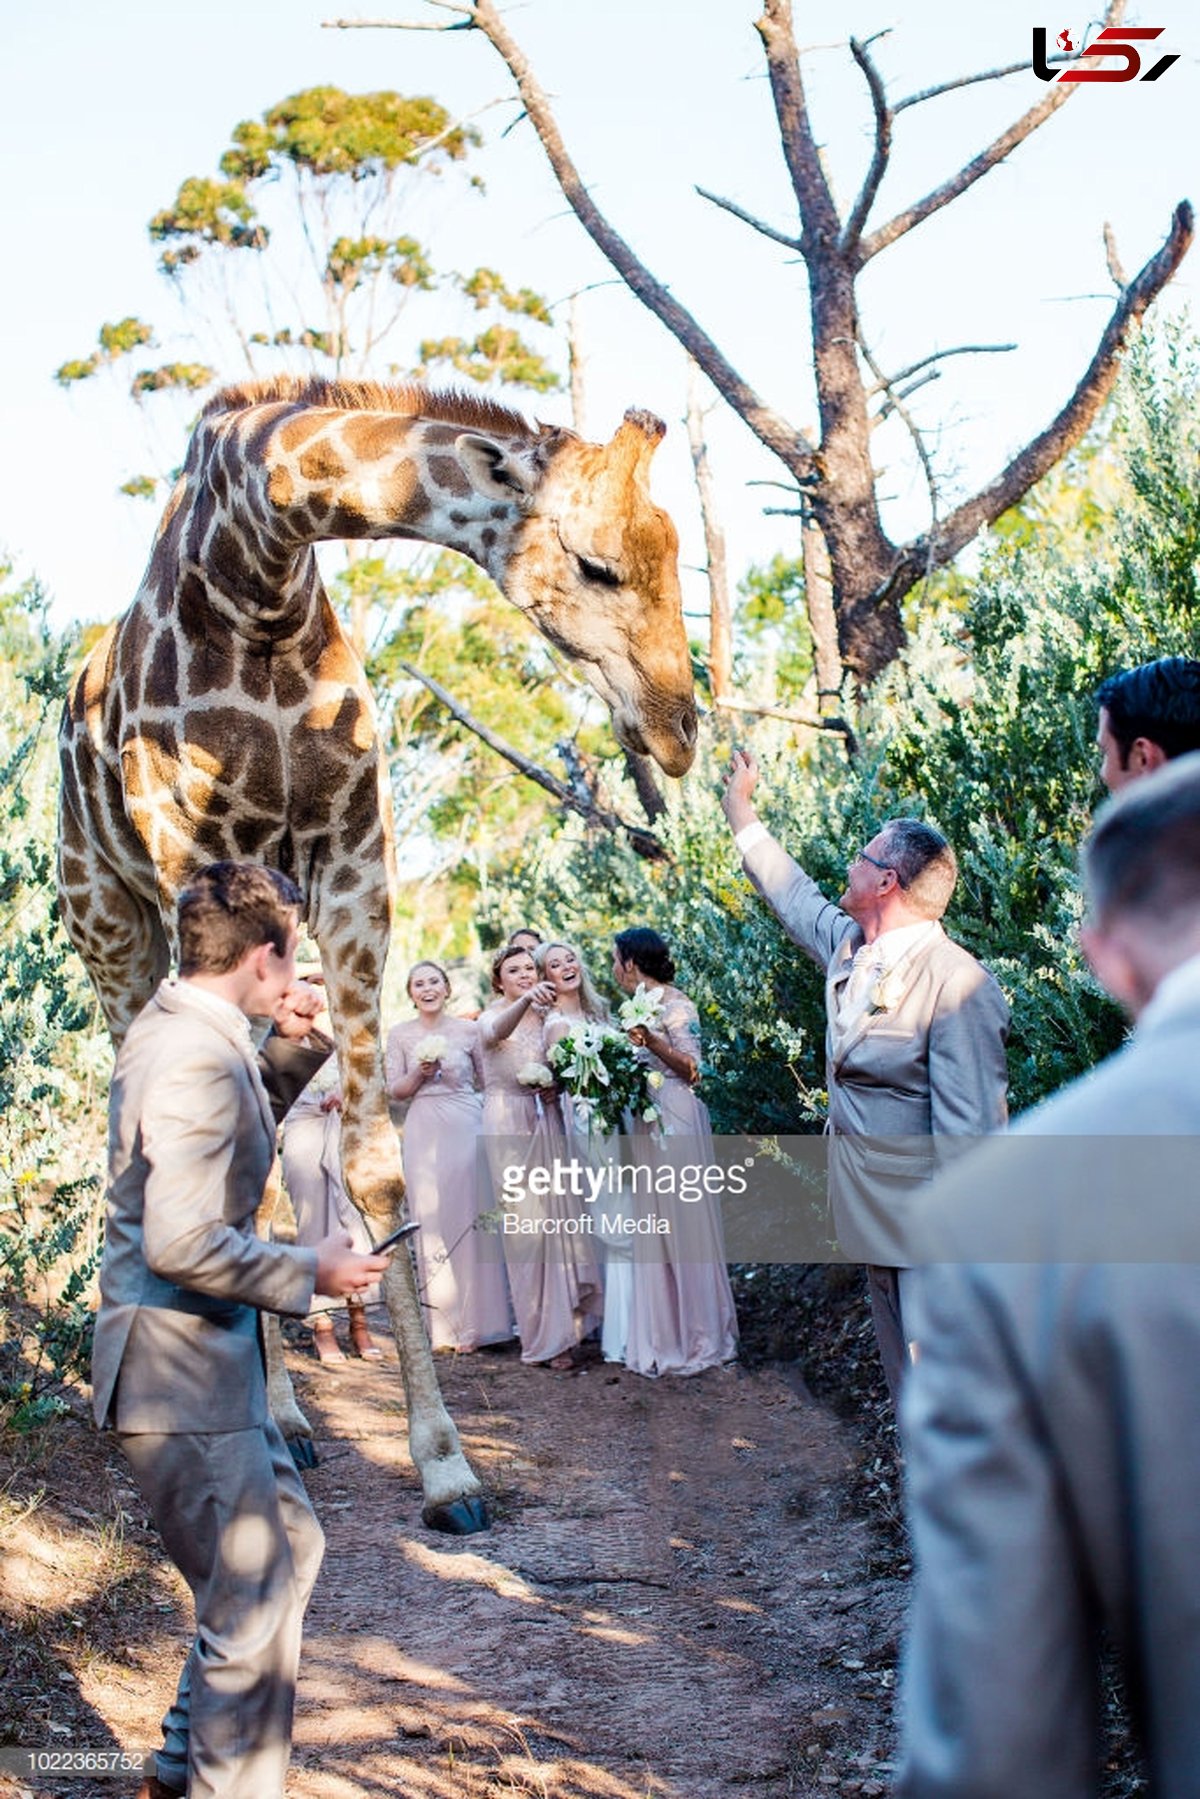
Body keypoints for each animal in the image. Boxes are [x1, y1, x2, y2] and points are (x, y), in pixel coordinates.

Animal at [58, 375, 694, 1532]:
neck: (257, 564)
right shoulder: (193, 864)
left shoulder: (353, 862)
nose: (679, 730)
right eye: (596, 563)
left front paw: (446, 1466)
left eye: (669, 547)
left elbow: (369, 1160)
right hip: (107, 921)